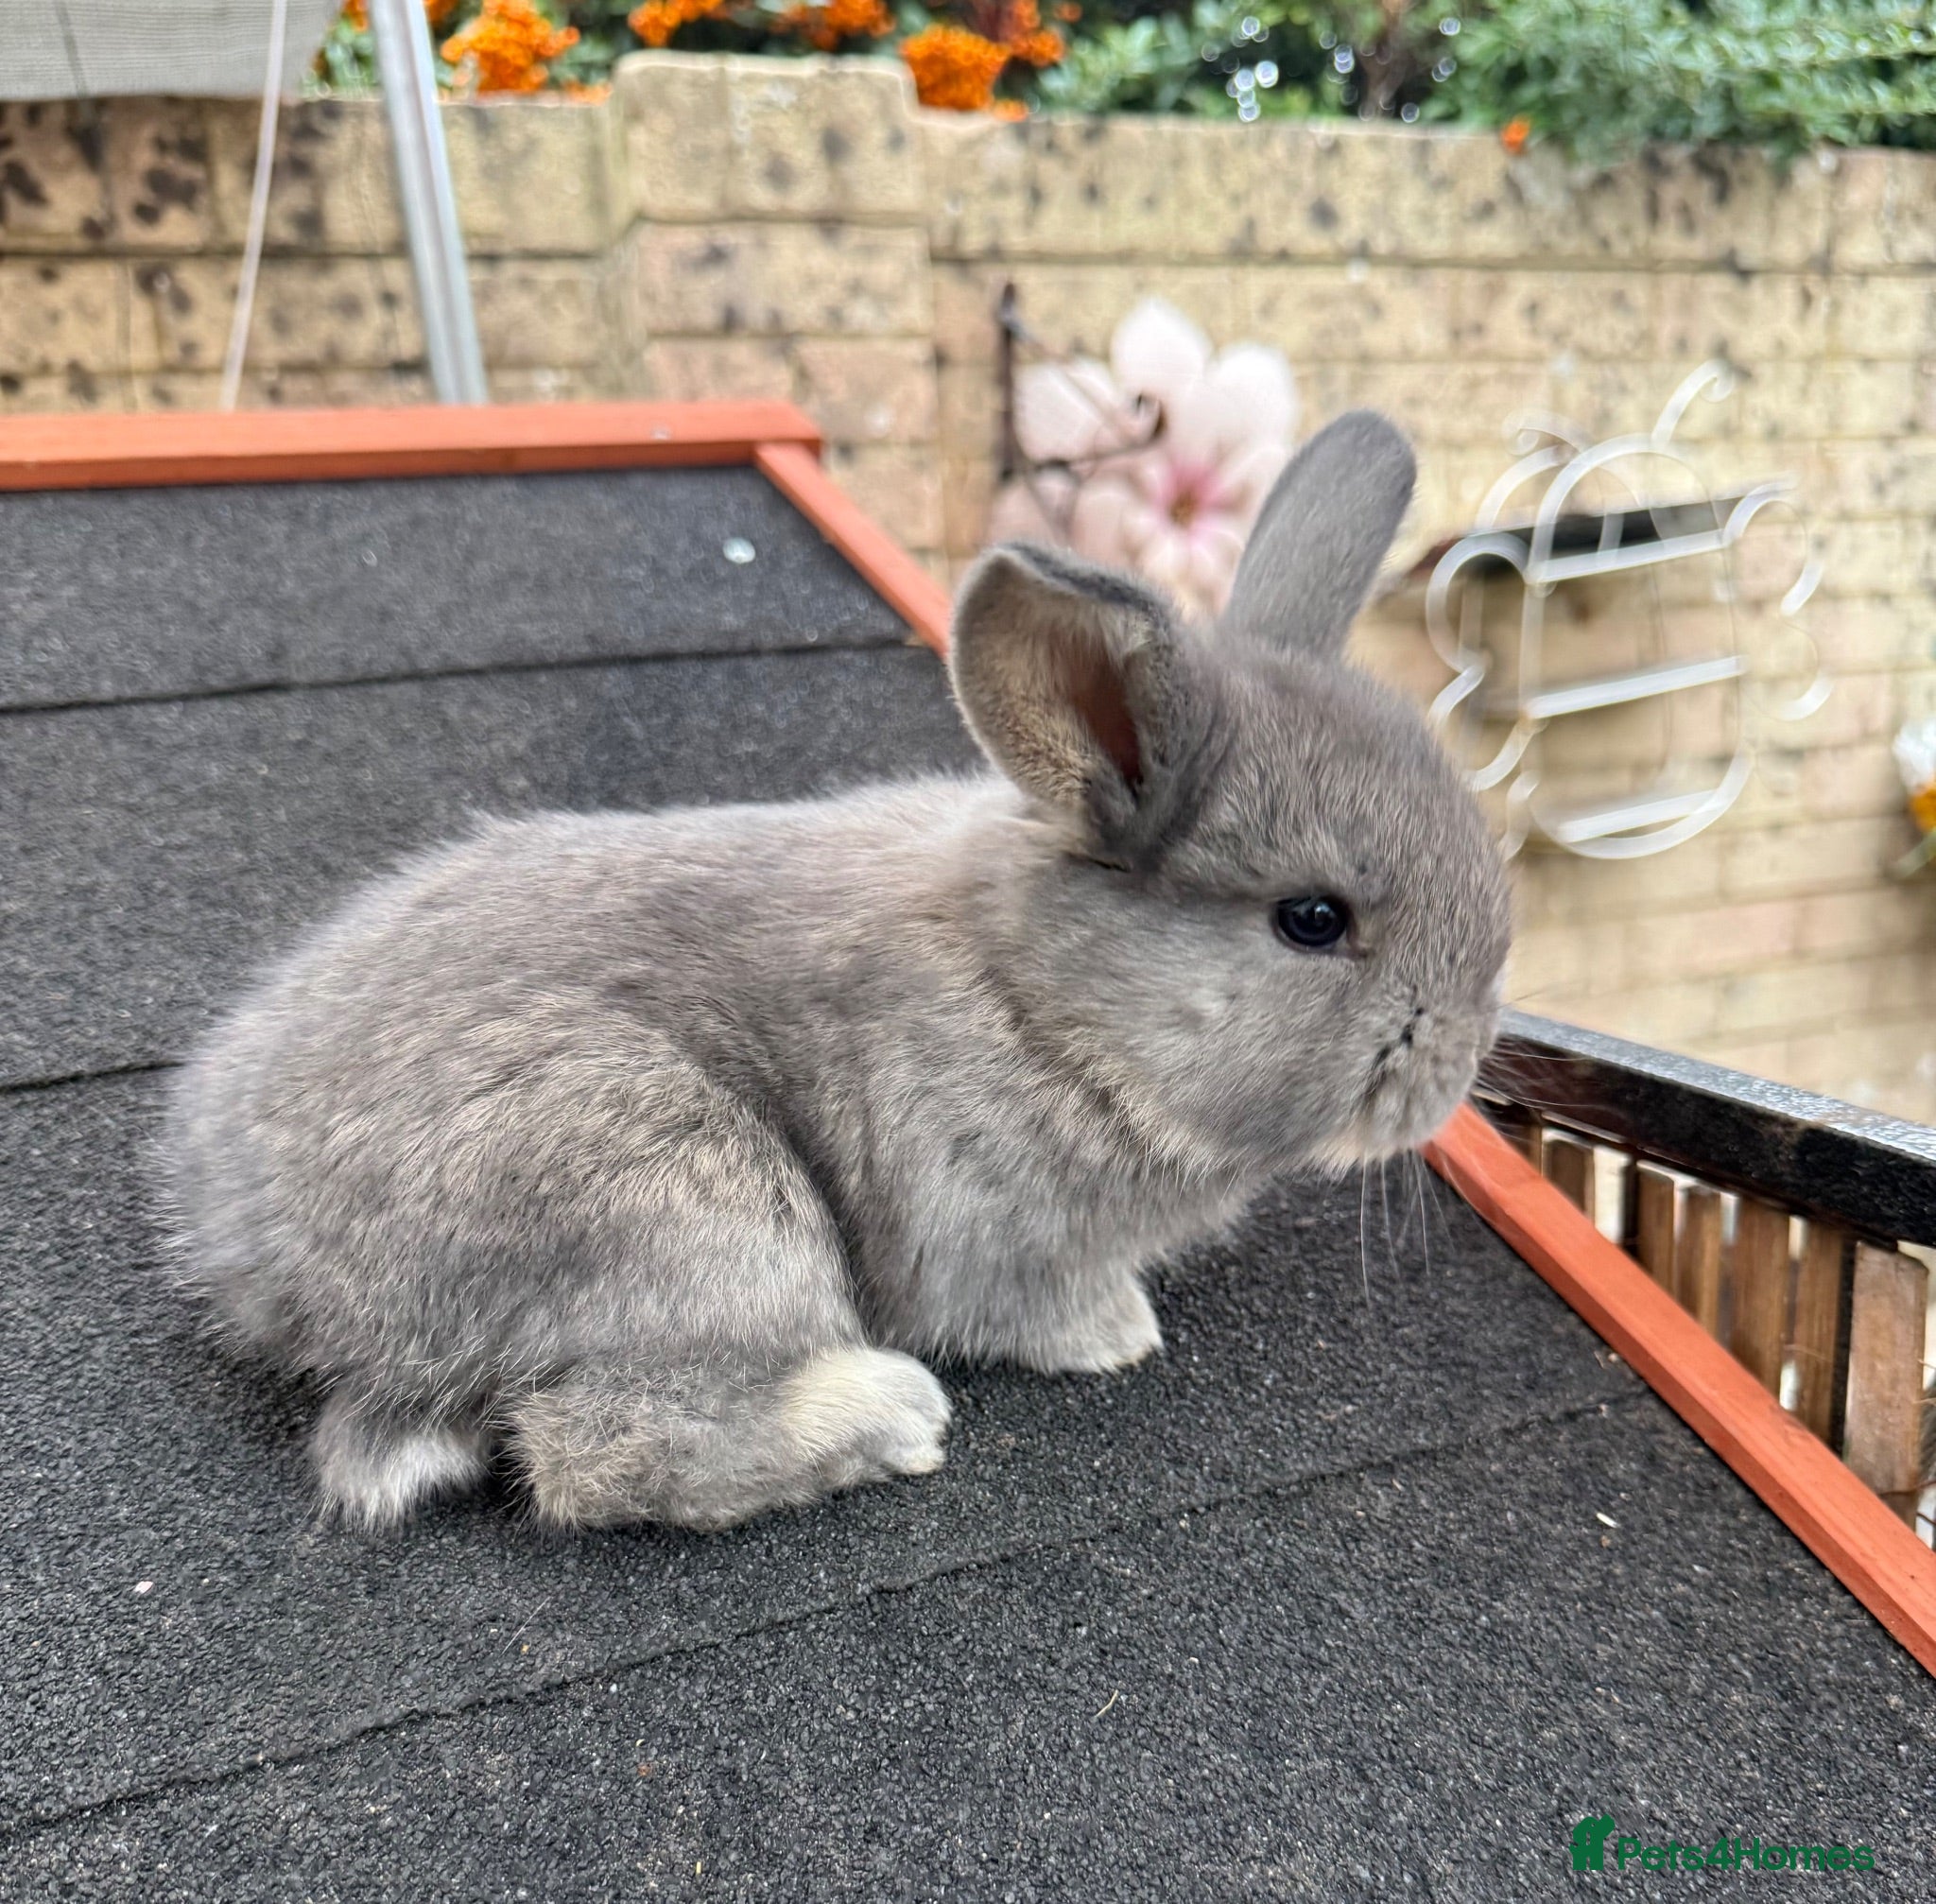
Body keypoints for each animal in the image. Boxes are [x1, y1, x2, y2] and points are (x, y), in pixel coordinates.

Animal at [158, 410, 1510, 1533]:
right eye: (1311, 920)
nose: (1458, 1064)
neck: (1044, 1007)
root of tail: (267, 1269)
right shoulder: (992, 1238)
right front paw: (1119, 1337)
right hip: (690, 1204)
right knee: (593, 1449)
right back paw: (885, 1415)